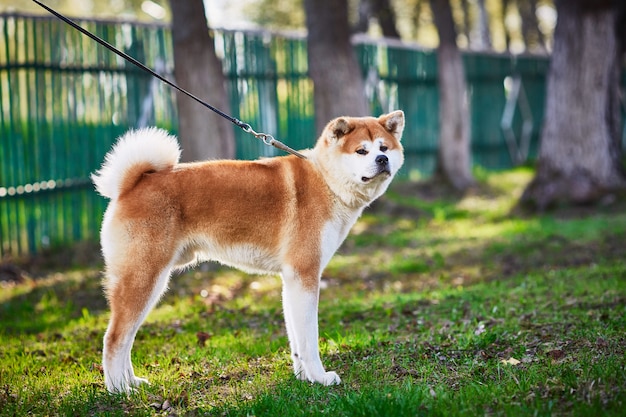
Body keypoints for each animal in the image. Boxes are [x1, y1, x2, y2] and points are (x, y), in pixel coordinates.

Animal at [92, 109, 404, 392]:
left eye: (384, 147)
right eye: (361, 150)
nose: (382, 160)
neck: (326, 181)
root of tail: (132, 184)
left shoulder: (292, 279)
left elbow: (297, 339)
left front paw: (303, 377)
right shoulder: (305, 274)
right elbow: (309, 338)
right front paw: (320, 377)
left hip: (149, 282)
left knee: (126, 338)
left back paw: (132, 382)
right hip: (144, 278)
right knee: (114, 338)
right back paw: (119, 390)